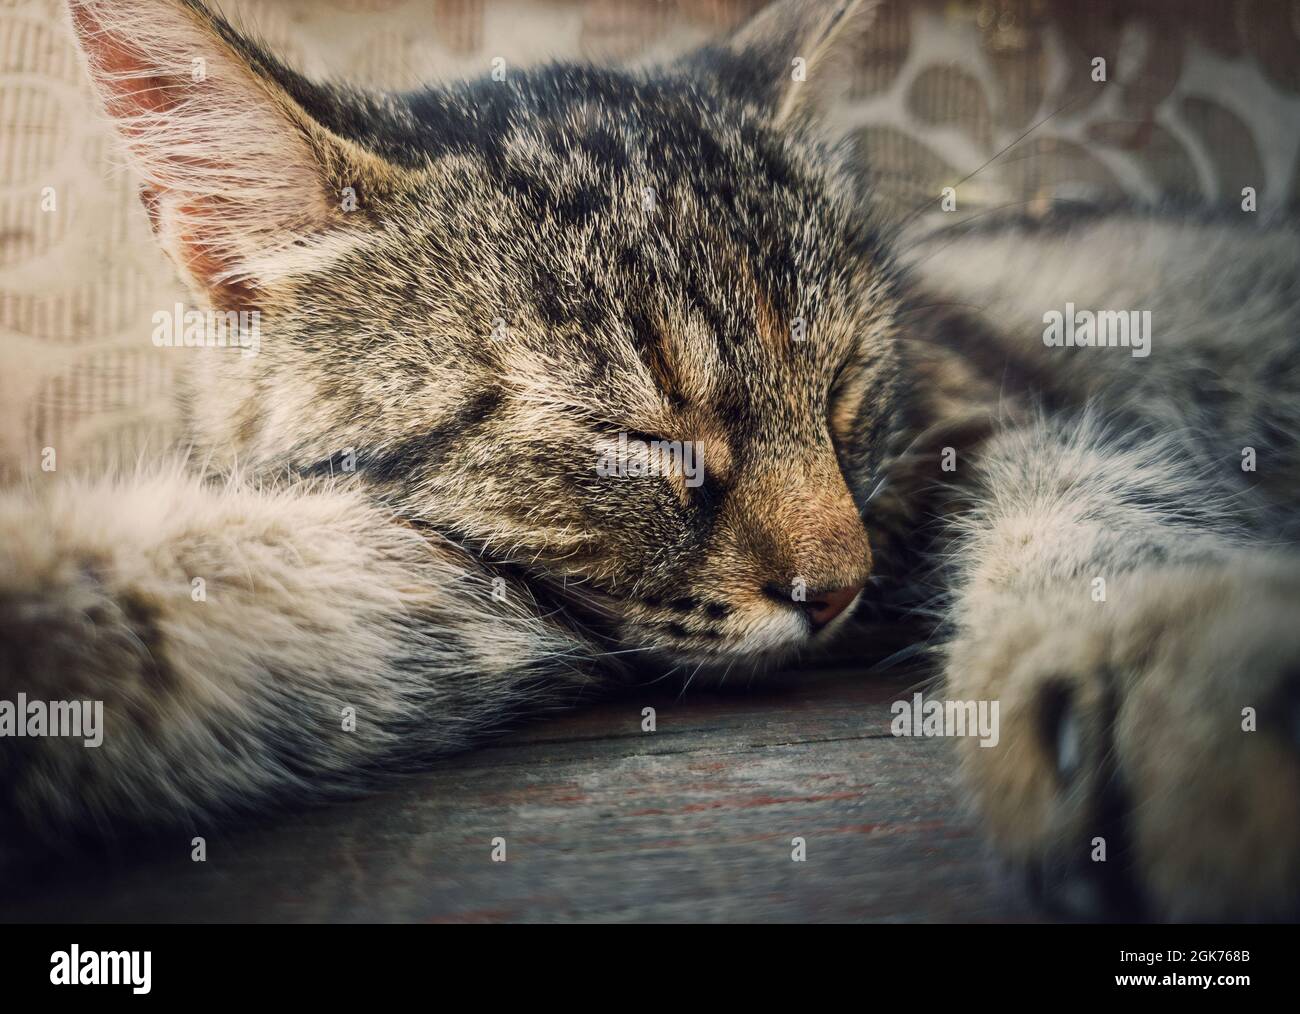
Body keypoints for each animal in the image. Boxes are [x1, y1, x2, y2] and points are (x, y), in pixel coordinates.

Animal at [2, 0, 1300, 920]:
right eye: (639, 439)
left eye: (841, 387)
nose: (838, 590)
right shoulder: (439, 584)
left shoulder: (1000, 410)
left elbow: (1095, 506)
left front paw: (1173, 691)